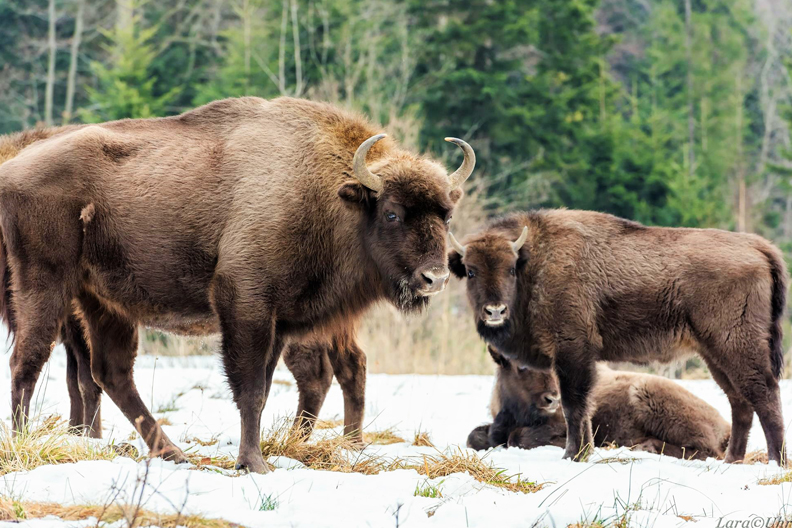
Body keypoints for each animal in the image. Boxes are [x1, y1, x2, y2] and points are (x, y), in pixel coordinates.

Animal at [0, 97, 474, 472]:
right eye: (392, 212)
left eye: (447, 214)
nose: (435, 277)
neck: (326, 192)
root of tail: (13, 171)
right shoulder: (245, 304)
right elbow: (249, 389)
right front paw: (254, 464)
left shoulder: (278, 323)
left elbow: (261, 391)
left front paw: (254, 459)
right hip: (45, 284)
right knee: (30, 360)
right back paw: (23, 443)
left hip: (102, 302)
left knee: (110, 373)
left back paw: (173, 453)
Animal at [468, 344, 732, 460]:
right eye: (521, 366)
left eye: (553, 366)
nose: (552, 397)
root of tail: (726, 425)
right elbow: (477, 436)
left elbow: (518, 437)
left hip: (645, 392)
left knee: (709, 451)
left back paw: (646, 446)